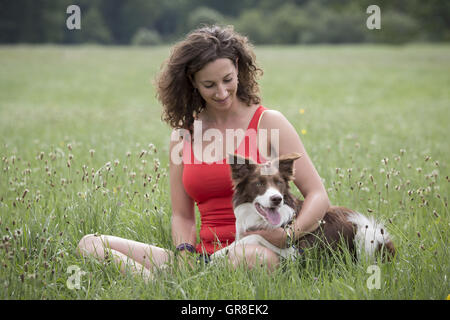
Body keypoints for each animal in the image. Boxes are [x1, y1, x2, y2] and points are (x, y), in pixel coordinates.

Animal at [209, 153, 396, 262]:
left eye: (279, 182)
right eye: (259, 183)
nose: (277, 199)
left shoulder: (296, 252)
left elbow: (255, 237)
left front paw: (218, 254)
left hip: (366, 235)